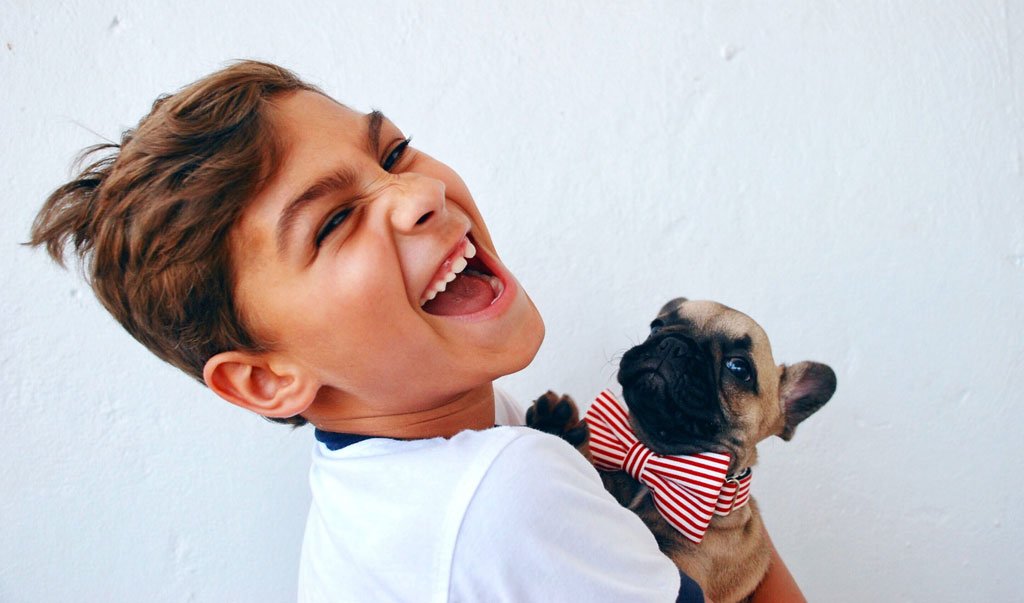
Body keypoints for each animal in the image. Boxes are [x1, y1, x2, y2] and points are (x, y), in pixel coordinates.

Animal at [527, 298, 836, 602]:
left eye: (739, 368)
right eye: (656, 326)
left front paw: (559, 427)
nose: (674, 343)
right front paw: (555, 426)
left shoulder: (683, 564)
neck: (656, 461)